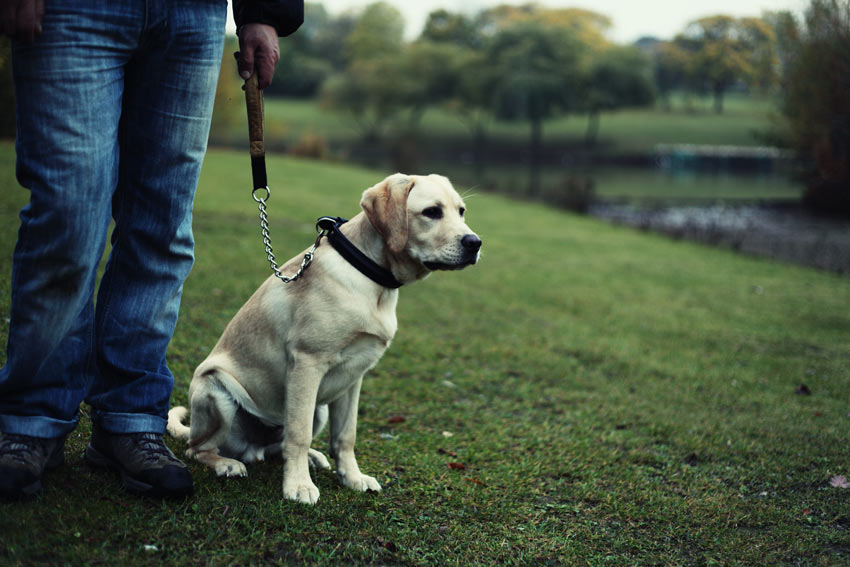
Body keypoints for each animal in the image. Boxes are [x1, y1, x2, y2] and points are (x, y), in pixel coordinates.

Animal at [169, 174, 480, 506]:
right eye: (432, 212)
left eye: (461, 211)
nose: (475, 243)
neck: (371, 277)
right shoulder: (308, 363)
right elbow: (299, 434)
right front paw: (298, 486)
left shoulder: (354, 376)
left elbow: (345, 436)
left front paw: (353, 478)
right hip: (217, 391)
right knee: (198, 449)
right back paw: (227, 464)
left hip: (317, 408)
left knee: (271, 448)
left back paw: (311, 458)